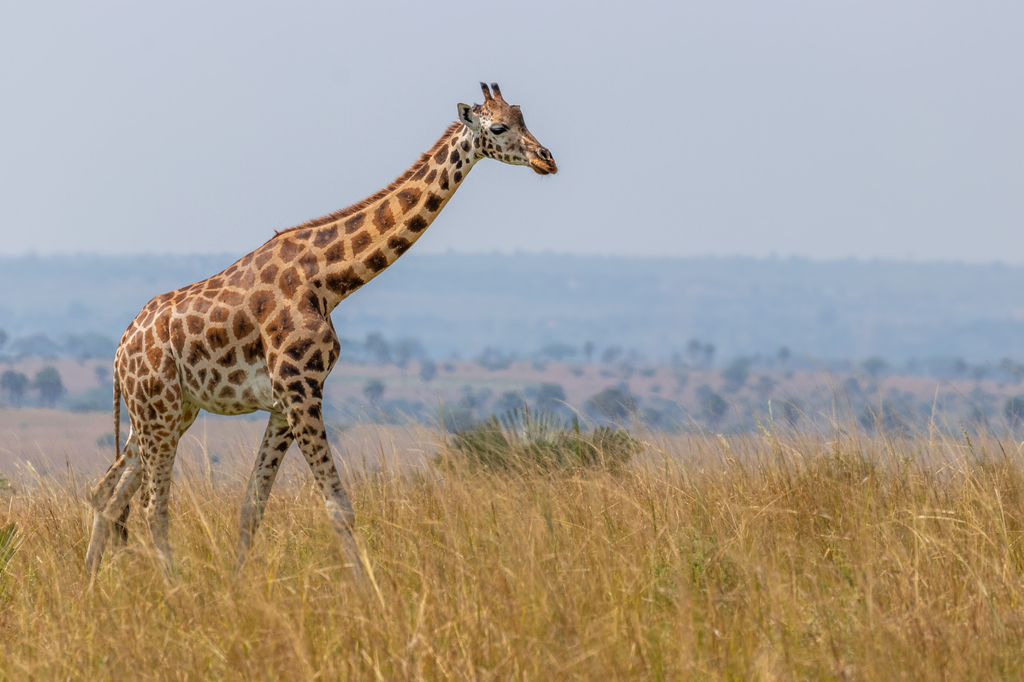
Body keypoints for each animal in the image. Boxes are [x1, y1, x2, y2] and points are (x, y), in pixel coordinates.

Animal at [85, 83, 557, 577]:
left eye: (522, 117)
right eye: (498, 127)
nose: (547, 159)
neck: (329, 280)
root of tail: (120, 350)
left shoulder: (282, 403)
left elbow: (253, 505)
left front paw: (238, 584)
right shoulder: (301, 389)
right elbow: (338, 505)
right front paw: (368, 588)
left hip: (167, 412)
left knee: (107, 494)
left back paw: (91, 582)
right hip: (157, 411)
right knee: (150, 504)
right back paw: (172, 586)